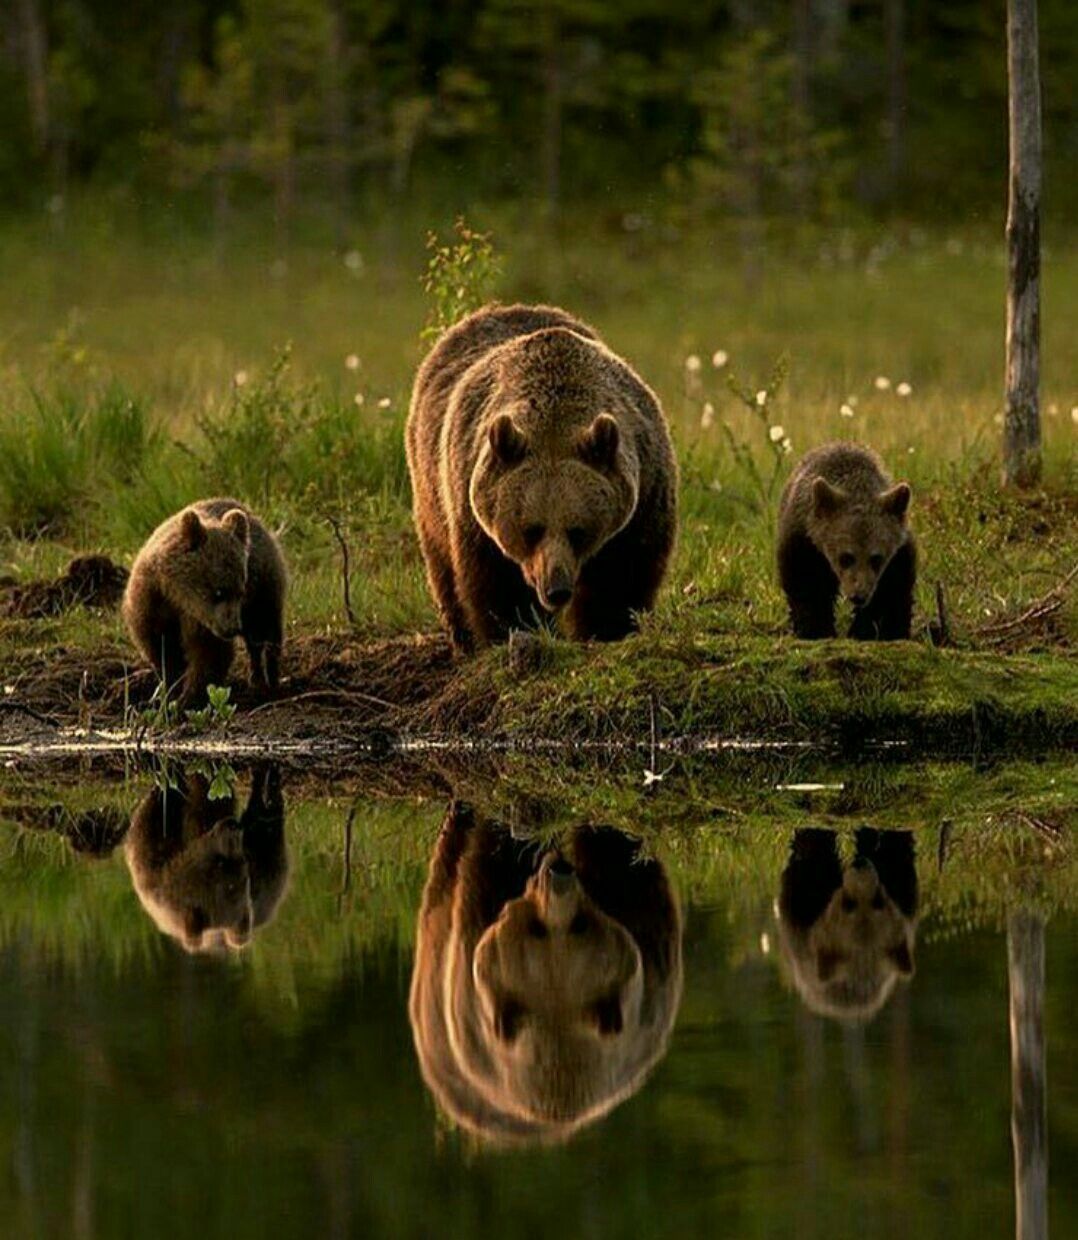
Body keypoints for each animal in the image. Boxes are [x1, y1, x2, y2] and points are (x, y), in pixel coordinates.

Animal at [404, 302, 674, 649]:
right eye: (531, 529)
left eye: (578, 530)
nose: (556, 588)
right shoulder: (472, 509)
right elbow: (496, 586)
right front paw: (514, 630)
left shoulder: (644, 493)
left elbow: (622, 577)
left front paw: (607, 629)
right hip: (430, 484)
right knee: (441, 562)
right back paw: (462, 637)